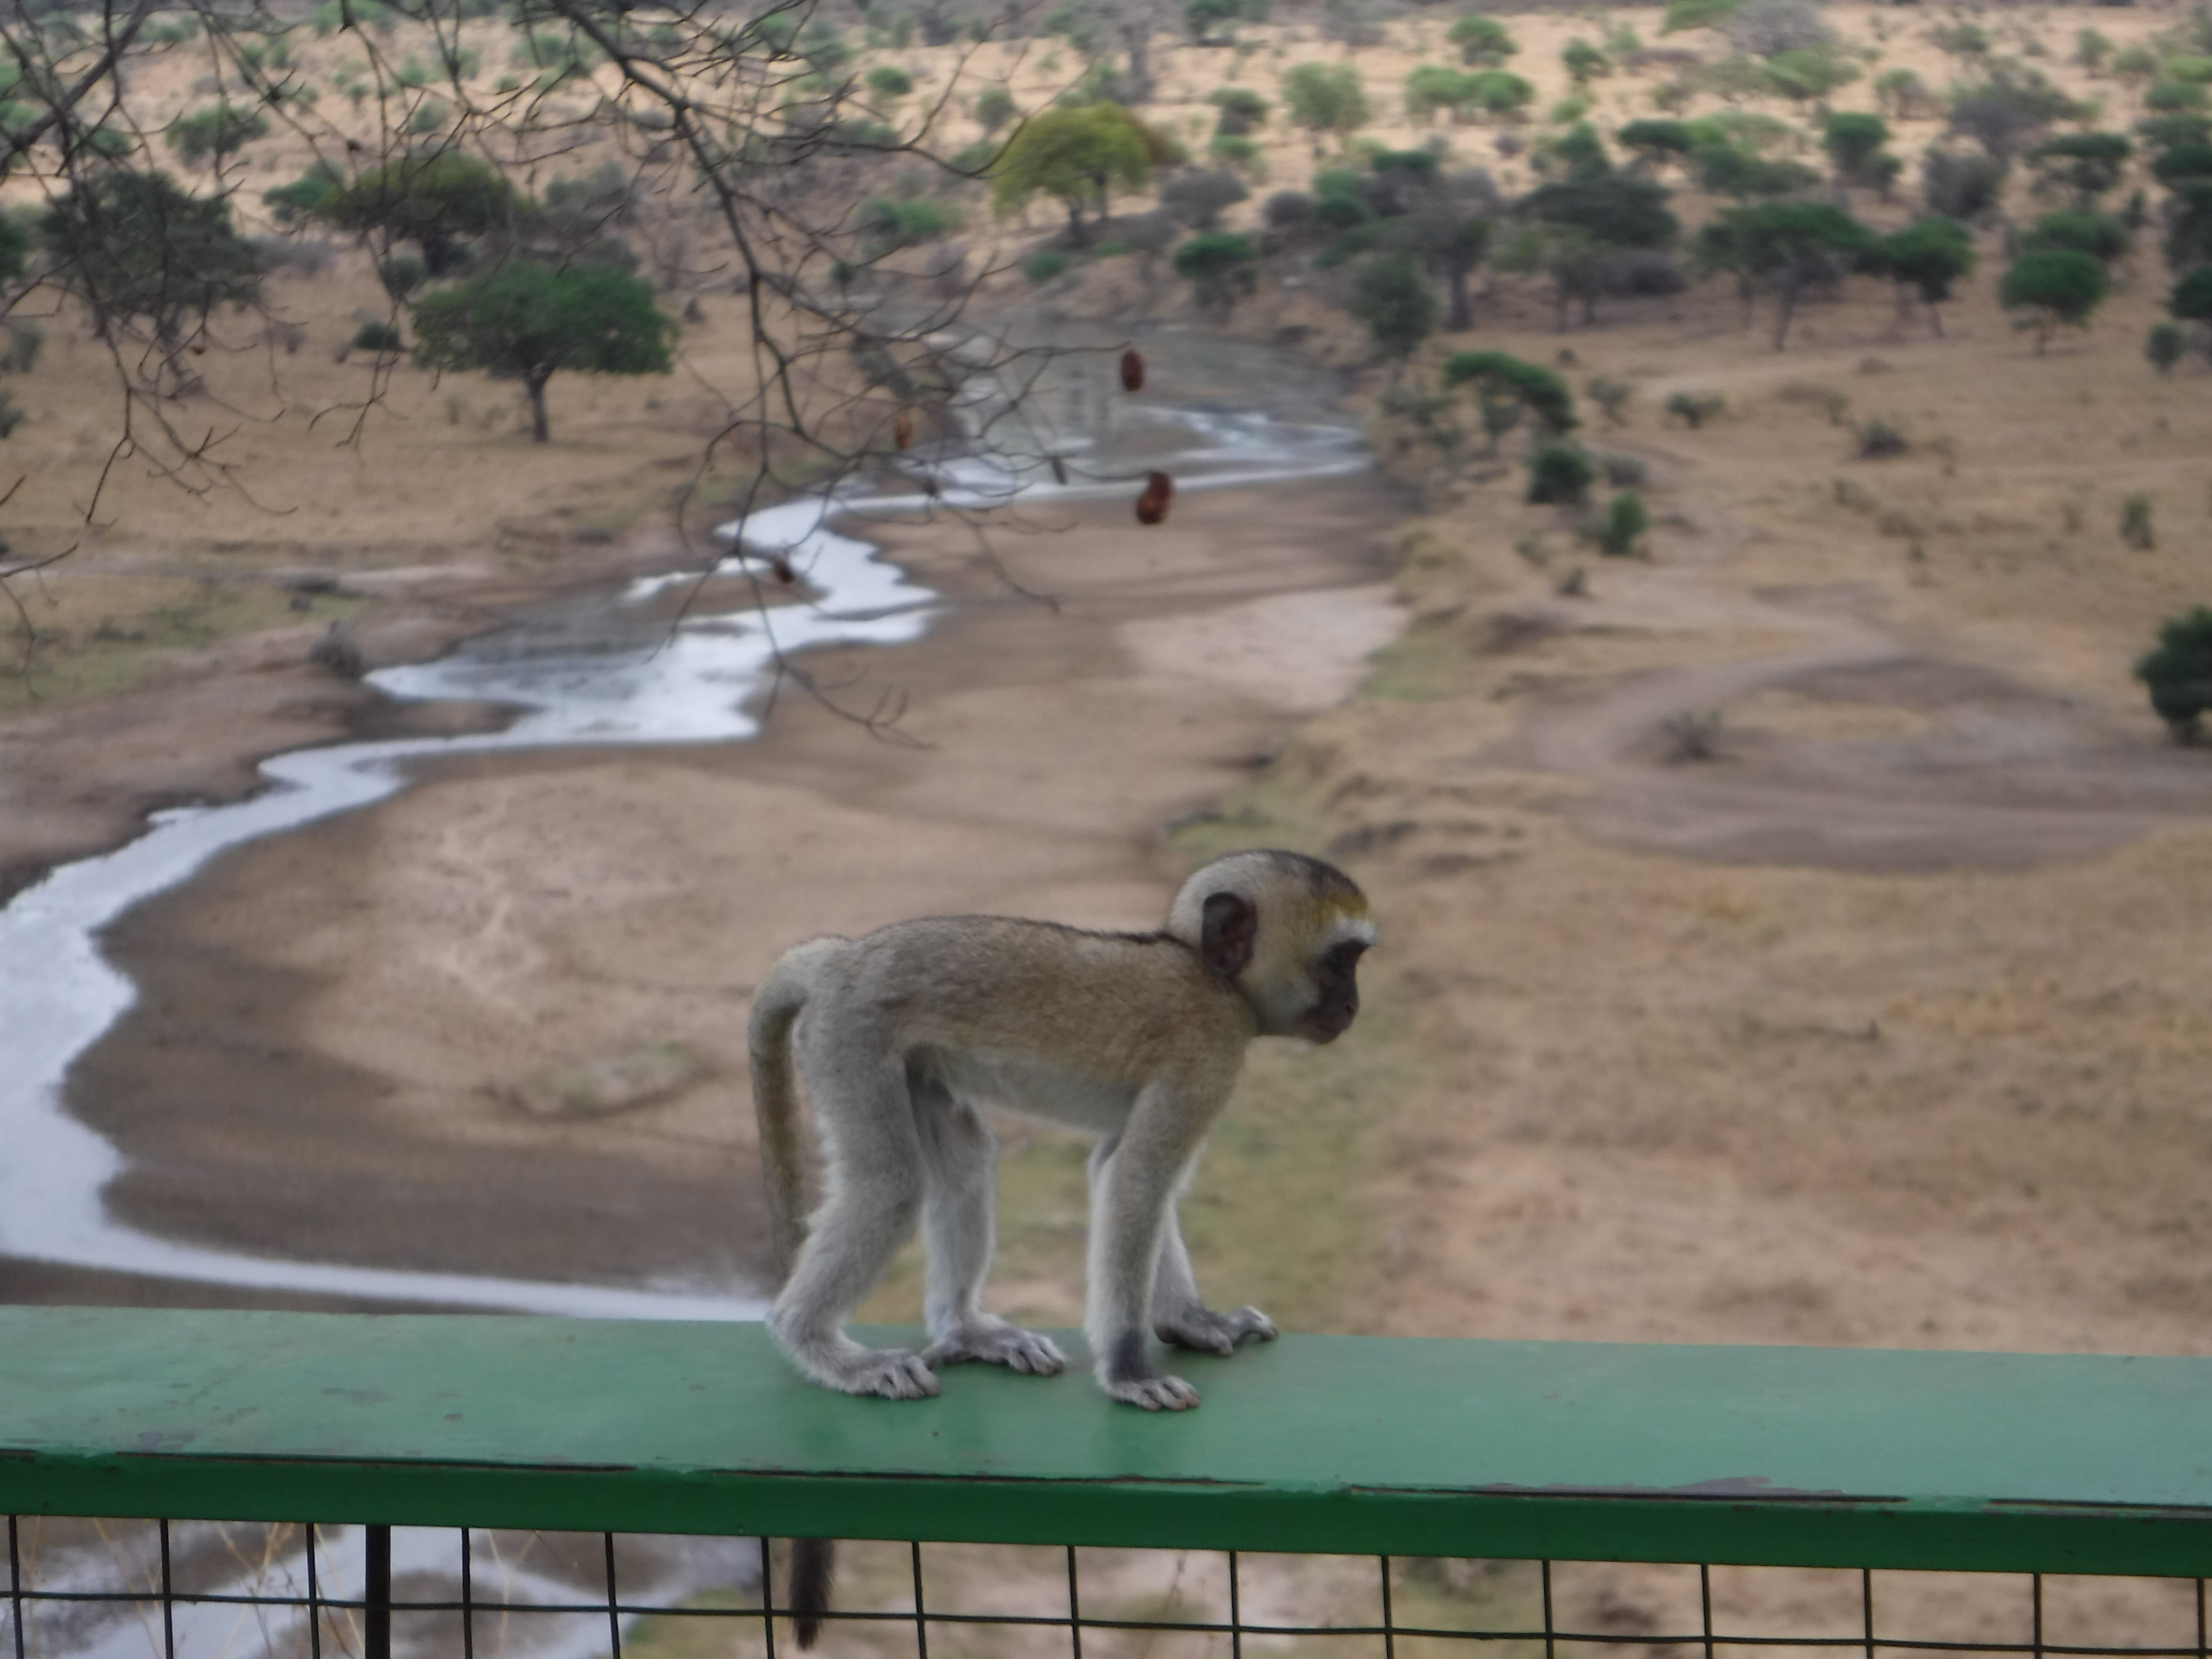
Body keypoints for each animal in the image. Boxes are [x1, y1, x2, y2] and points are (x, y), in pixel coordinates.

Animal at [747, 849, 1370, 1646]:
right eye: (1340, 961)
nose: (1354, 1005)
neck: (1208, 974)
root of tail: (844, 958)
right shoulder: (1206, 1053)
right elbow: (1137, 1179)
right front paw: (1131, 1371)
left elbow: (1120, 1170)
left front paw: (1194, 1322)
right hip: (852, 1041)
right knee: (889, 1186)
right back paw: (819, 1346)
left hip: (897, 1054)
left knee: (964, 1154)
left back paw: (968, 1331)